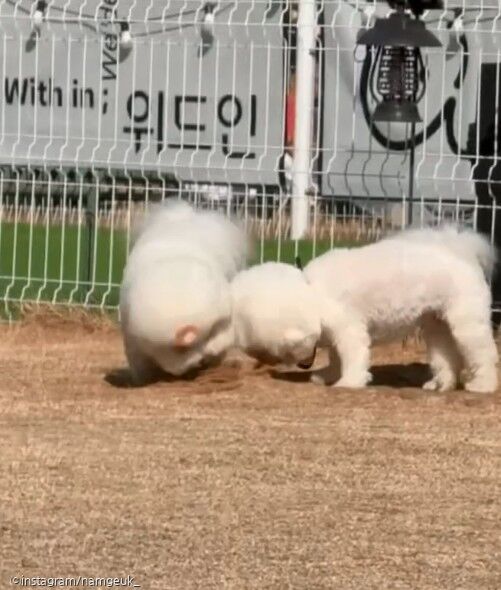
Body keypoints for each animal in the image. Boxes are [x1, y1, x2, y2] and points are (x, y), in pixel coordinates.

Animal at [119, 200, 248, 384]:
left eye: (209, 335)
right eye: (182, 350)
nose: (202, 360)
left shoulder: (224, 319)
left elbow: (223, 338)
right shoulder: (132, 340)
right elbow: (139, 365)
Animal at [232, 229, 498, 396]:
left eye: (276, 354)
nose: (303, 365)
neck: (313, 291)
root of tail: (462, 251)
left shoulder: (349, 327)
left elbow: (352, 355)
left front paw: (349, 382)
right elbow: (336, 357)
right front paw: (327, 375)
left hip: (466, 322)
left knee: (483, 354)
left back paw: (483, 385)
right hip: (436, 324)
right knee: (446, 356)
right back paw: (441, 384)